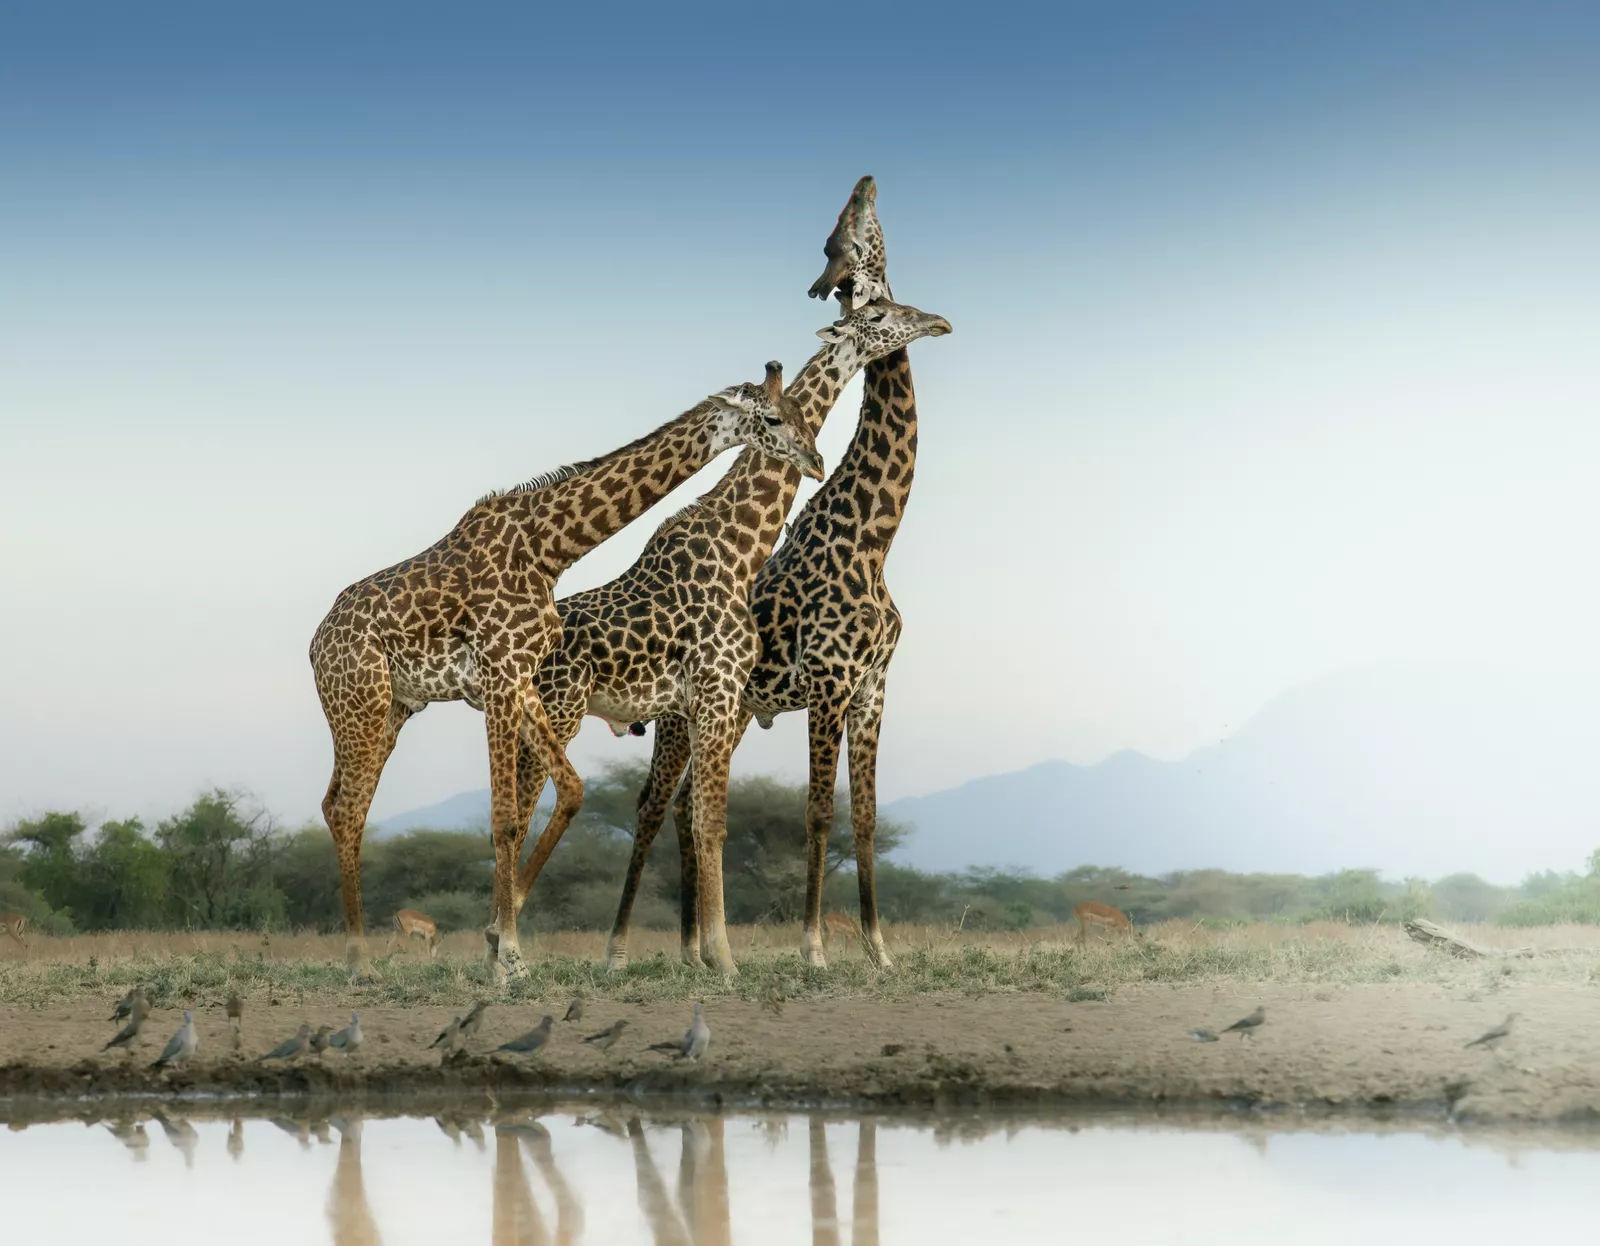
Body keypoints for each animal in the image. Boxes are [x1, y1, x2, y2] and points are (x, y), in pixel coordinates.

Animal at [309, 370, 825, 981]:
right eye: (771, 417)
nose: (815, 460)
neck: (550, 547)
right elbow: (505, 817)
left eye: (802, 413)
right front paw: (508, 959)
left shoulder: (520, 676)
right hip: (360, 702)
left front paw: (506, 945)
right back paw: (358, 961)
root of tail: (315, 646)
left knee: (341, 806)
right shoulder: (498, 668)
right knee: (346, 809)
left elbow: (570, 790)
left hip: (391, 709)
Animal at [609, 176, 921, 970]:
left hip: (734, 712)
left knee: (689, 807)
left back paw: (694, 947)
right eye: (840, 233)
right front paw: (814, 949)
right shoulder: (831, 683)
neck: (872, 543)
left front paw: (879, 950)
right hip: (680, 715)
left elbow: (865, 817)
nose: (867, 181)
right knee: (656, 806)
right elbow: (817, 816)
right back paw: (632, 947)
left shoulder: (873, 686)